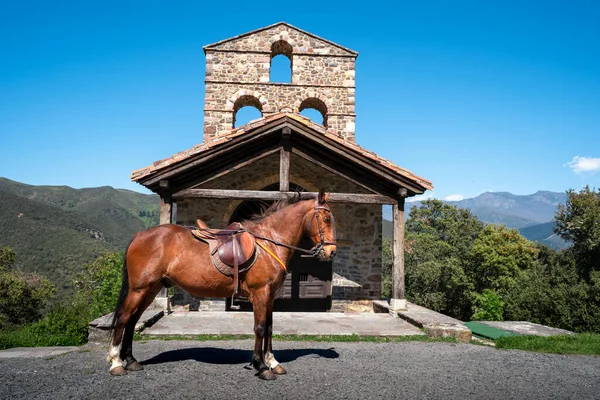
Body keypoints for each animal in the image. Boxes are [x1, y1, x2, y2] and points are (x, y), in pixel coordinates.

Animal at [105, 189, 336, 380]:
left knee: (133, 320)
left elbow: (270, 328)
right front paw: (261, 366)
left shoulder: (270, 296)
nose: (331, 252)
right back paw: (116, 362)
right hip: (139, 288)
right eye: (326, 218)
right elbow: (260, 328)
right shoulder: (260, 293)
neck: (269, 241)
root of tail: (140, 235)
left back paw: (131, 360)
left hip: (151, 289)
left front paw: (273, 362)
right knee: (124, 318)